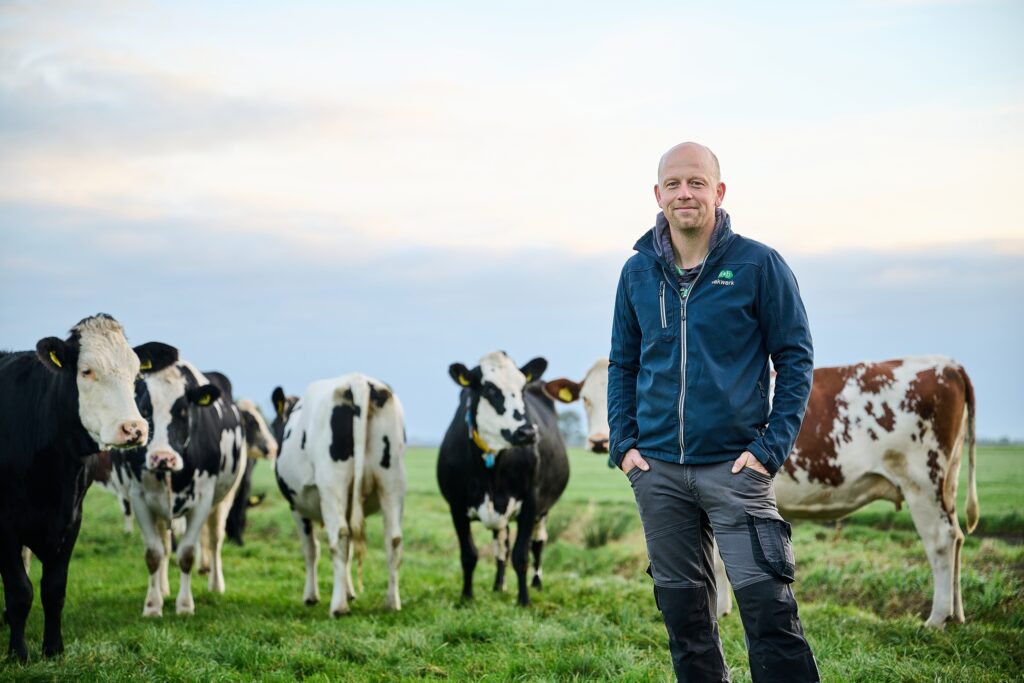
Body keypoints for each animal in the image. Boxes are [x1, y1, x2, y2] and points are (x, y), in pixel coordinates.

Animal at [0, 314, 176, 660]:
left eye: (137, 374)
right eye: (86, 371)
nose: (134, 428)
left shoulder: (71, 520)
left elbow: (54, 589)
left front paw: (53, 649)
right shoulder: (4, 527)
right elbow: (20, 591)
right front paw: (19, 654)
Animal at [107, 362, 248, 617]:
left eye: (183, 411)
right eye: (145, 409)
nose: (163, 458)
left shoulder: (203, 500)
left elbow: (187, 553)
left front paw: (184, 605)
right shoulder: (139, 498)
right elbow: (154, 553)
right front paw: (152, 605)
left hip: (224, 499)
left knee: (215, 540)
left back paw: (216, 585)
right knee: (164, 546)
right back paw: (162, 589)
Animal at [274, 374, 406, 617]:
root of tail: (357, 380)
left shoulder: (296, 507)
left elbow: (311, 550)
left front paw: (311, 596)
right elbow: (350, 553)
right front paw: (349, 591)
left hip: (332, 484)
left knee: (340, 537)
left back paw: (339, 607)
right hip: (393, 482)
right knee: (393, 539)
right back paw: (391, 603)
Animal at [438, 352, 570, 607]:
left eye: (522, 388)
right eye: (489, 389)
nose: (527, 432)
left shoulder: (531, 503)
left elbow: (521, 555)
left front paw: (524, 600)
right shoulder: (456, 506)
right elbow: (469, 554)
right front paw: (466, 597)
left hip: (543, 510)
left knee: (538, 544)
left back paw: (536, 584)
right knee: (501, 544)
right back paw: (499, 585)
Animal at [550, 355, 979, 627]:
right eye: (585, 398)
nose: (597, 441)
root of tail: (948, 364)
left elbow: (718, 559)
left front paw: (721, 610)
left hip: (922, 480)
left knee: (941, 542)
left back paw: (936, 618)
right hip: (947, 480)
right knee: (957, 538)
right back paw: (957, 614)